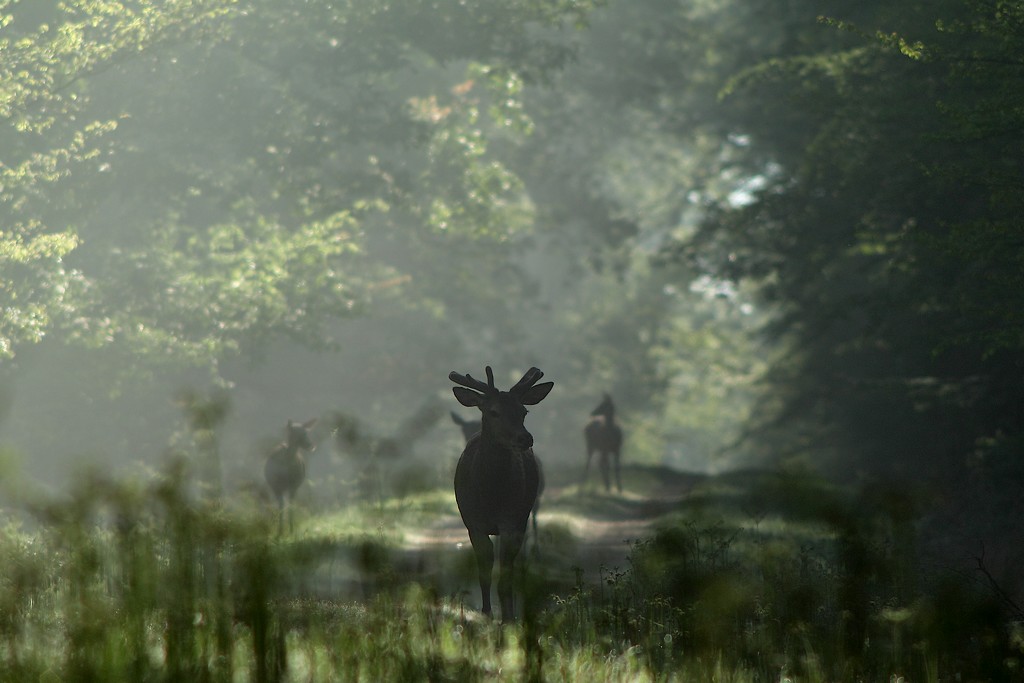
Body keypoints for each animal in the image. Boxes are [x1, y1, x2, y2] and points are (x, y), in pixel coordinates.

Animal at [450, 366, 553, 621]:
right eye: (493, 411)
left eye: (523, 411)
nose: (524, 438)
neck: (491, 495)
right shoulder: (473, 522)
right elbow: (484, 569)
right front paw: (486, 613)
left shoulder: (512, 520)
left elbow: (506, 572)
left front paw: (508, 618)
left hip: (524, 513)